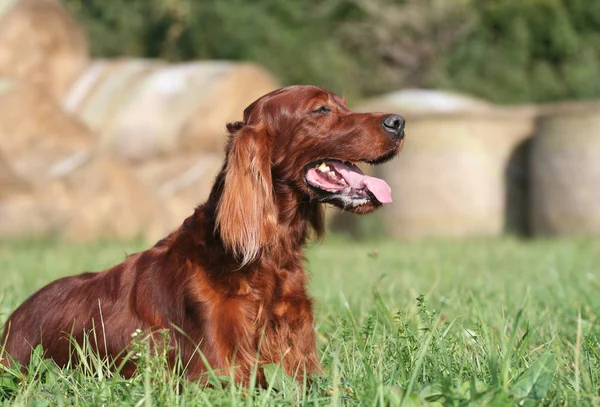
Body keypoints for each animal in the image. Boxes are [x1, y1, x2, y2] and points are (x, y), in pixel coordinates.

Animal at [0, 85, 406, 386]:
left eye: (344, 105)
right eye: (320, 110)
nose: (399, 121)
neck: (266, 258)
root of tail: (13, 320)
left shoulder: (298, 365)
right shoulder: (218, 374)